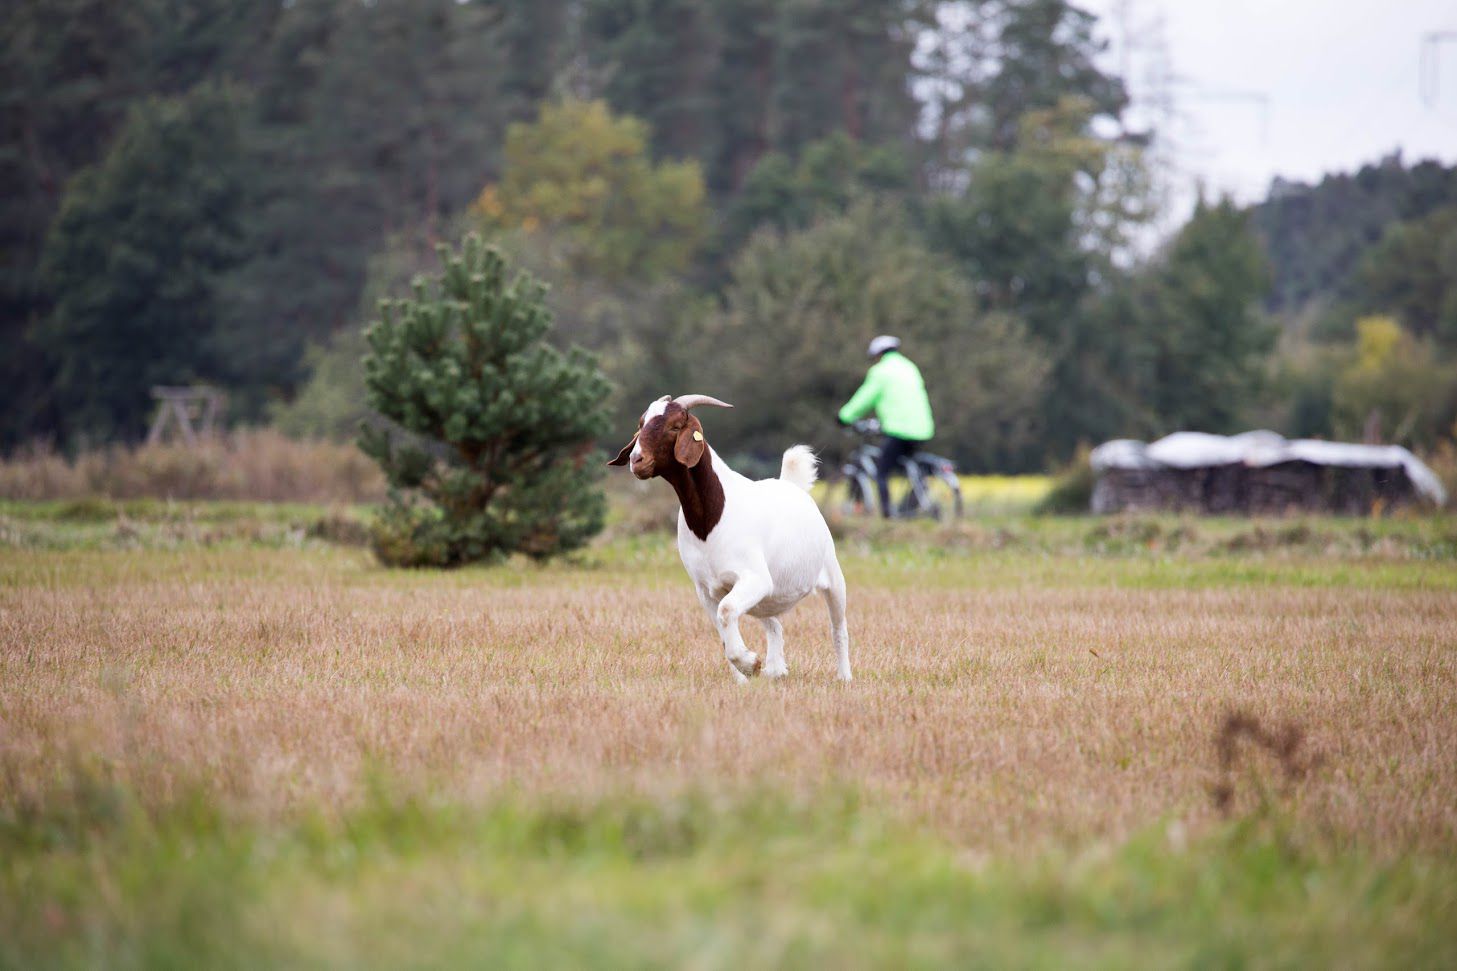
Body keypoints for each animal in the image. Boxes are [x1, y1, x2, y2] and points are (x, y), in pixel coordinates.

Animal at [606, 393, 850, 679]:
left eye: (675, 426)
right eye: (641, 423)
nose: (637, 460)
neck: (708, 523)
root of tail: (792, 485)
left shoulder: (754, 577)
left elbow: (727, 611)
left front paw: (749, 663)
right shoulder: (706, 590)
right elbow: (722, 631)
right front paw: (744, 674)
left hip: (832, 578)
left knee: (838, 629)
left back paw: (844, 677)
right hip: (766, 597)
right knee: (774, 624)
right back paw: (776, 670)